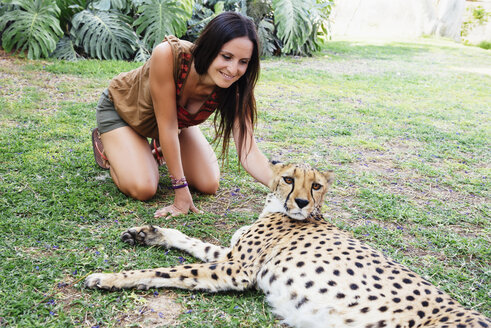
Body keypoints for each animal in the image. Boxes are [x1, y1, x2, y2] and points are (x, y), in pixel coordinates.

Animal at [86, 161, 490, 328]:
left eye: (316, 185)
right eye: (288, 179)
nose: (301, 202)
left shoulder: (237, 270)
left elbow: (165, 271)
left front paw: (108, 277)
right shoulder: (233, 257)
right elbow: (189, 240)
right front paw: (146, 234)